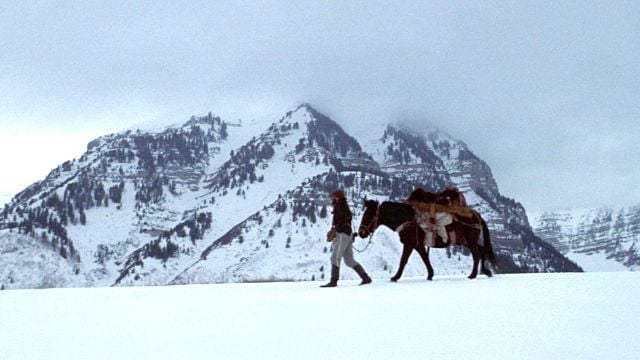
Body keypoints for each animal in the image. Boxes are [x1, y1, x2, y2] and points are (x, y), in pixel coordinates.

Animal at [358, 191, 498, 282]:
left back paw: (473, 275)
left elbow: (403, 260)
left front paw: (395, 277)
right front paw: (430, 274)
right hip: (466, 241)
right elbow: (425, 258)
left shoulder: (409, 243)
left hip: (470, 240)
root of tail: (476, 214)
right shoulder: (418, 244)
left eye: (369, 215)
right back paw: (486, 271)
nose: (361, 232)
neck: (407, 219)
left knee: (477, 254)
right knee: (481, 251)